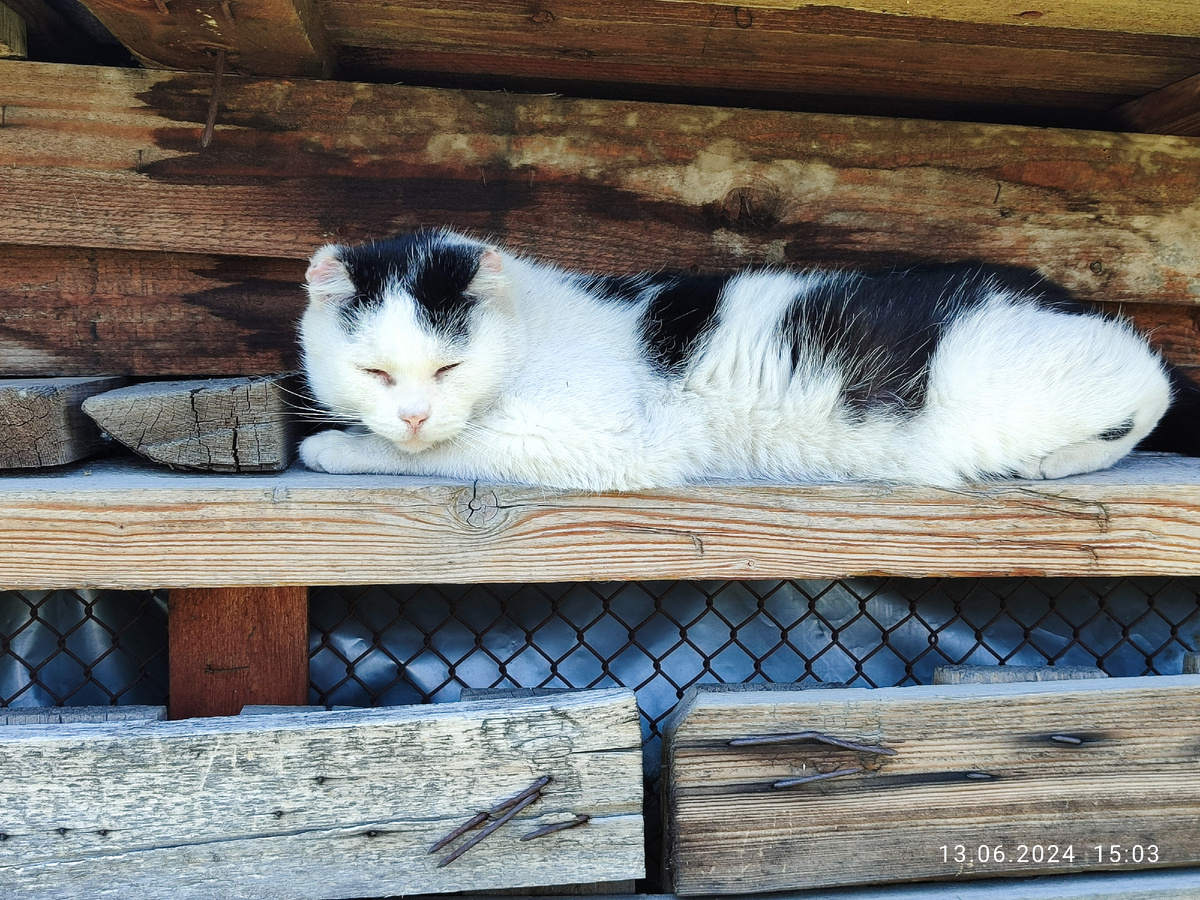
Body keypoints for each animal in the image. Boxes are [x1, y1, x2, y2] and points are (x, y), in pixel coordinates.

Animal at [297, 229, 1200, 489]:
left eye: (447, 369)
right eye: (375, 372)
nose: (413, 413)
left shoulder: (606, 441)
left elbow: (461, 447)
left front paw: (336, 446)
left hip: (1007, 384)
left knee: (1153, 384)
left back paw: (1061, 460)